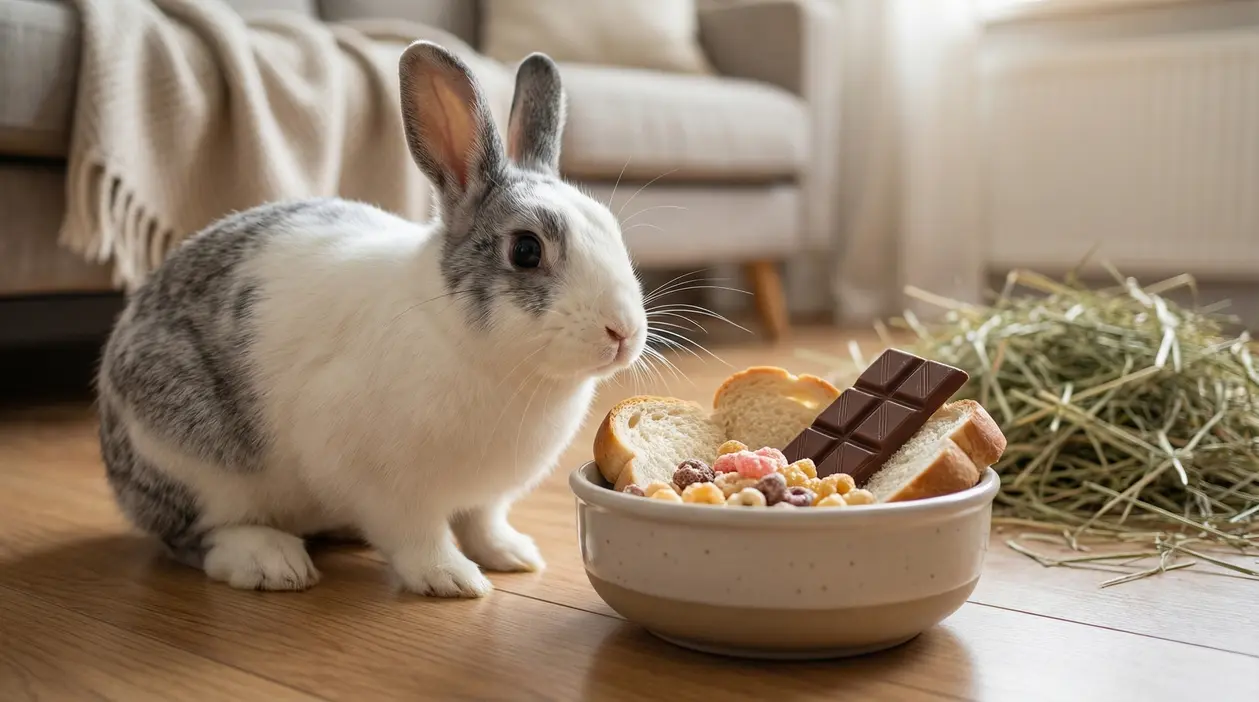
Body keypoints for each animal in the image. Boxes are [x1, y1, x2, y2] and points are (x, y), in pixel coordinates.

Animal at [95, 41, 647, 598]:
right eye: (527, 250)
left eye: (612, 228)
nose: (623, 332)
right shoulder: (385, 485)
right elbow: (416, 534)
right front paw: (451, 578)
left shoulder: (486, 497)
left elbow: (483, 522)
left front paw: (513, 555)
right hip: (190, 459)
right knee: (194, 536)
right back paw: (272, 561)